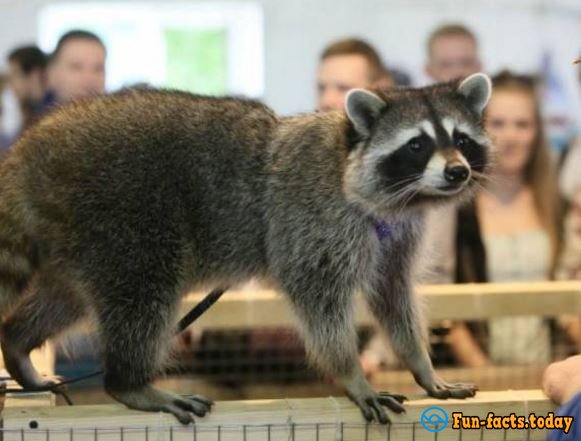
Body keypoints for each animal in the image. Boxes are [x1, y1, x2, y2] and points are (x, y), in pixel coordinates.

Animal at [0, 73, 490, 422]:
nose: (457, 172)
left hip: (79, 239)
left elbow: (393, 295)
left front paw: (421, 363)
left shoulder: (397, 235)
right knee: (144, 294)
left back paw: (18, 345)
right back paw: (130, 382)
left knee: (65, 298)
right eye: (417, 144)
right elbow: (319, 301)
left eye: (461, 140)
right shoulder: (313, 221)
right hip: (124, 216)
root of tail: (28, 154)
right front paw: (351, 373)